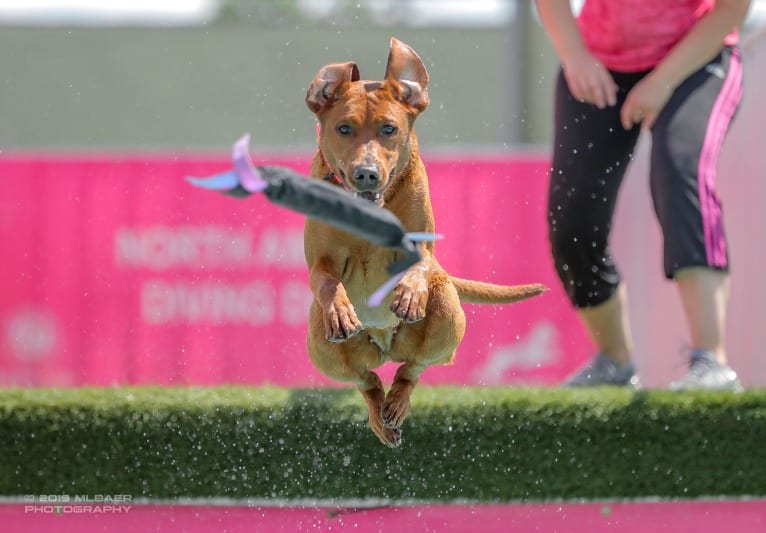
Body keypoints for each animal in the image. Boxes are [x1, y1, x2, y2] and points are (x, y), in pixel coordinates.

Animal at [304, 38, 544, 444]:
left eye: (388, 128)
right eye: (344, 128)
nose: (366, 174)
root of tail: (385, 347)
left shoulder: (425, 246)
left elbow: (420, 263)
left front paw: (409, 294)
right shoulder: (320, 258)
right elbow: (325, 280)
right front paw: (340, 309)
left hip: (446, 310)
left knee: (414, 367)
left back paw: (398, 398)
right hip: (321, 346)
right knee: (365, 379)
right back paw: (378, 411)